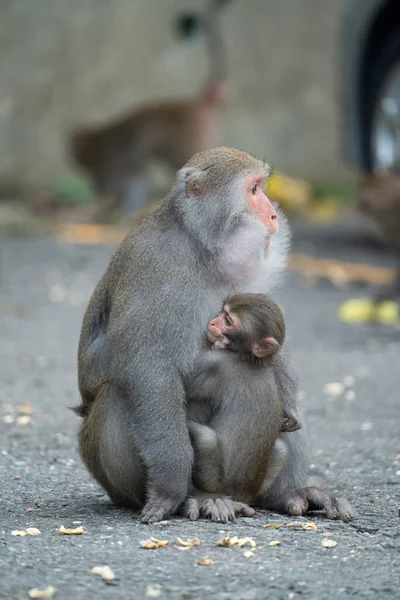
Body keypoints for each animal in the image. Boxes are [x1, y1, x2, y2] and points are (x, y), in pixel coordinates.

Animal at [68, 0, 231, 220]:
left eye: (79, 153)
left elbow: (127, 185)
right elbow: (137, 184)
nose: (96, 186)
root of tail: (197, 102)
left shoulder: (115, 166)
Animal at [184, 294, 300, 520]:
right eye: (223, 312)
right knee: (281, 449)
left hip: (215, 481)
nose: (213, 322)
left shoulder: (216, 364)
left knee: (206, 438)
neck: (250, 359)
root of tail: (241, 496)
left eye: (228, 321)